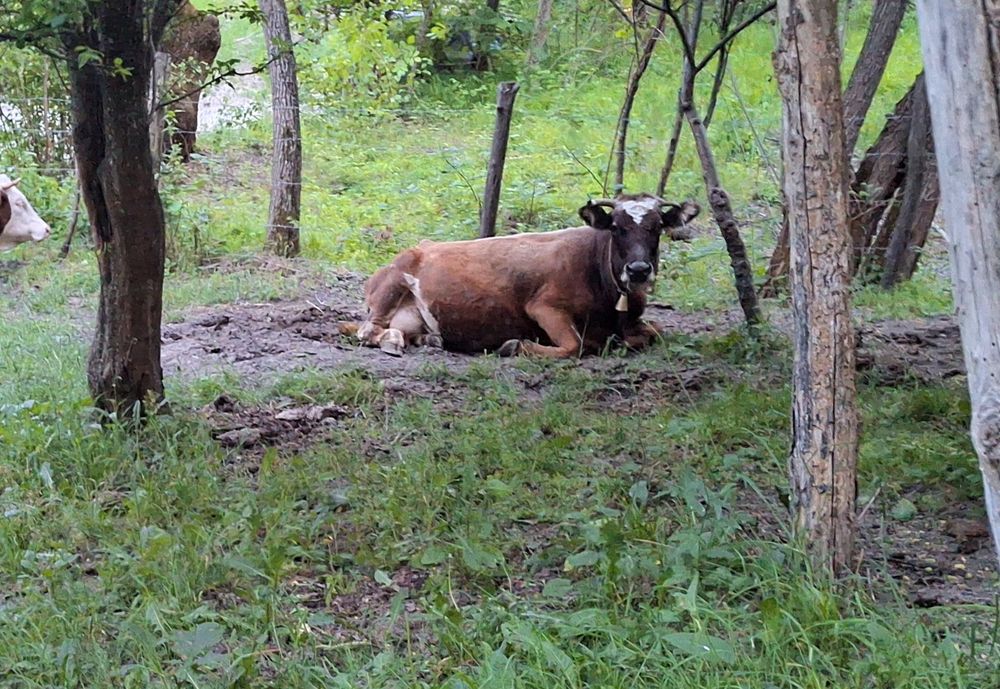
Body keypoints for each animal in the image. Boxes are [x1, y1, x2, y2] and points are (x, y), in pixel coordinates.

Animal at [351, 193, 700, 358]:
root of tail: (420, 247)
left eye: (658, 227)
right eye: (616, 227)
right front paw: (514, 346)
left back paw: (428, 339)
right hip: (393, 283)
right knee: (368, 330)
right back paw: (392, 341)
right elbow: (573, 346)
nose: (639, 270)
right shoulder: (544, 307)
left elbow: (655, 332)